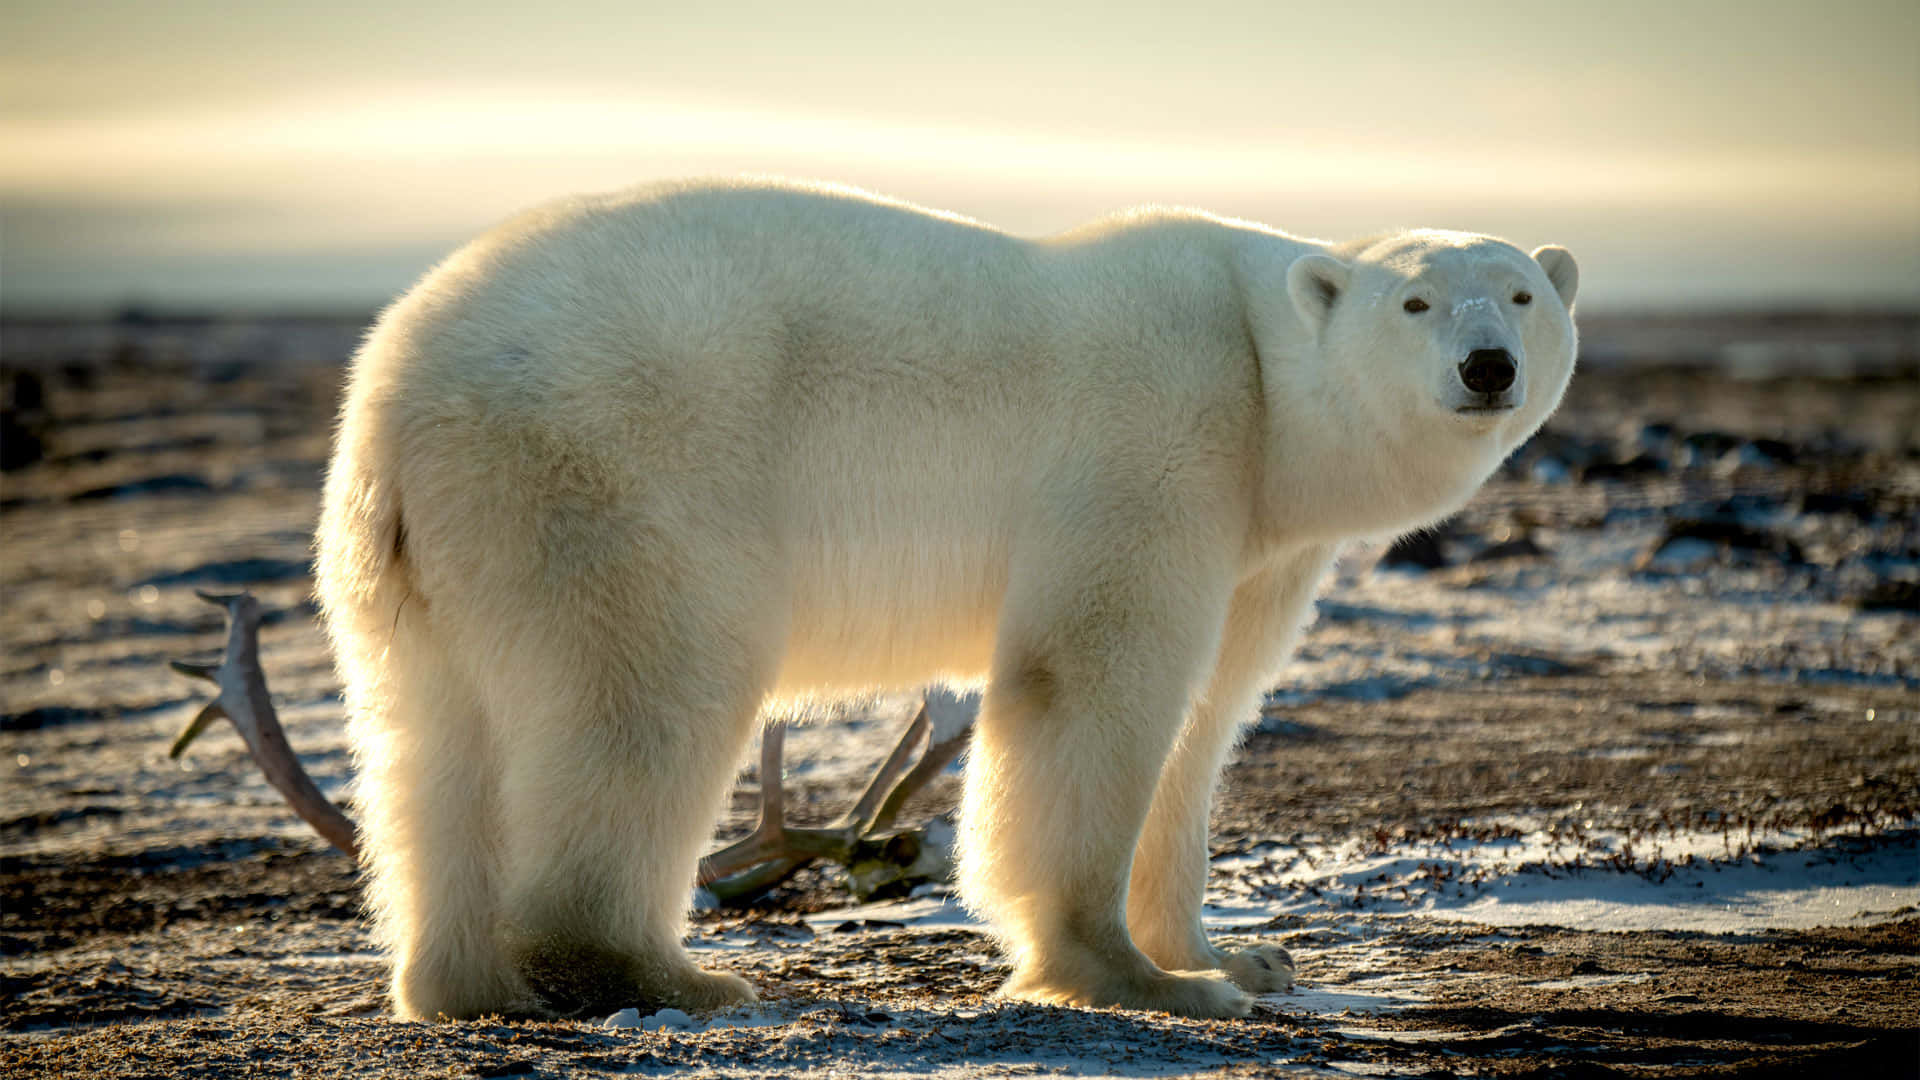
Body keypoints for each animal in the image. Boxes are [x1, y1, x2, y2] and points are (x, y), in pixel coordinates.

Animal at [314, 177, 1578, 1021]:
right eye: (1415, 303)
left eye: (1520, 292)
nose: (1488, 367)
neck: (1264, 378)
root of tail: (389, 392)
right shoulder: (1161, 433)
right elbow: (1091, 675)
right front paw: (1133, 976)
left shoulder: (1260, 540)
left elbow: (1206, 719)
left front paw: (1236, 959)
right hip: (611, 465)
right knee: (646, 695)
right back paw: (667, 973)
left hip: (436, 554)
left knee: (433, 744)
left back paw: (464, 980)